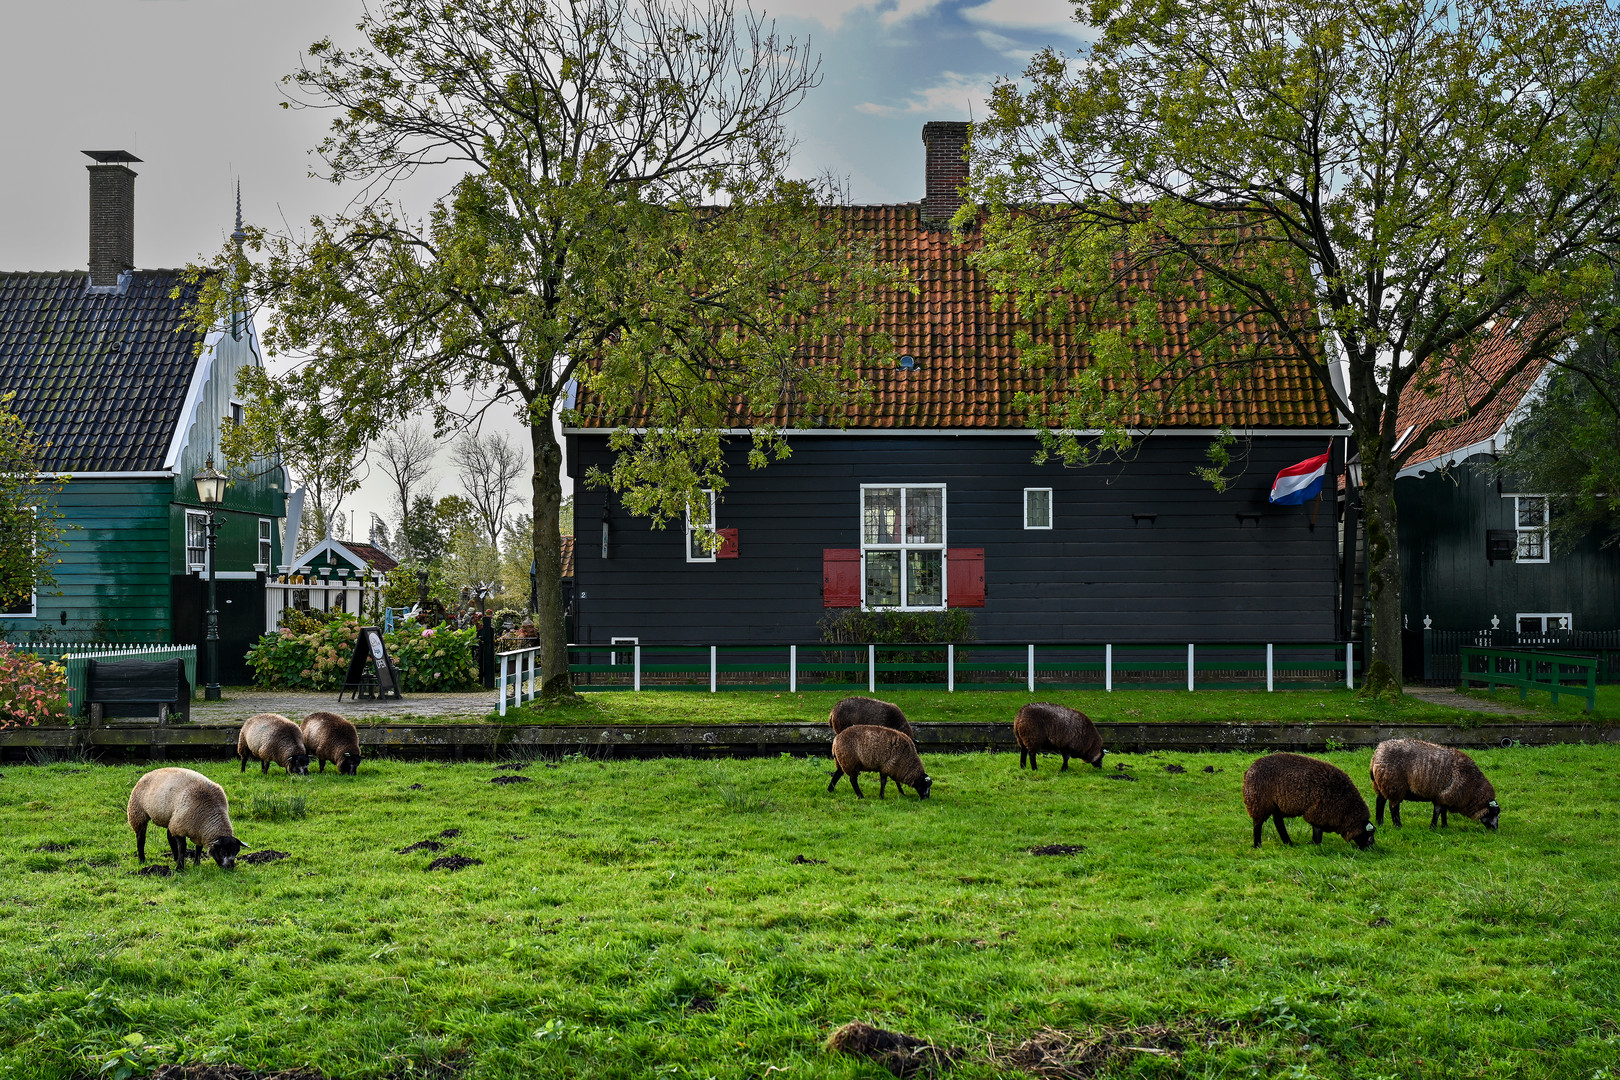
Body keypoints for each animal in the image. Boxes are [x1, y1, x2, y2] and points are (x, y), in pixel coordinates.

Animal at [1244, 751, 1373, 854]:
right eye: (1370, 835)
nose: (1371, 849)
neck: (1347, 808)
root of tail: (1249, 770)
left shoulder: (1318, 813)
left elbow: (1315, 831)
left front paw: (1312, 844)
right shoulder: (1319, 812)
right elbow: (1318, 833)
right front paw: (1317, 846)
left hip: (1276, 805)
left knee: (1278, 822)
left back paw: (1288, 843)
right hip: (1259, 803)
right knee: (1258, 825)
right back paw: (1257, 845)